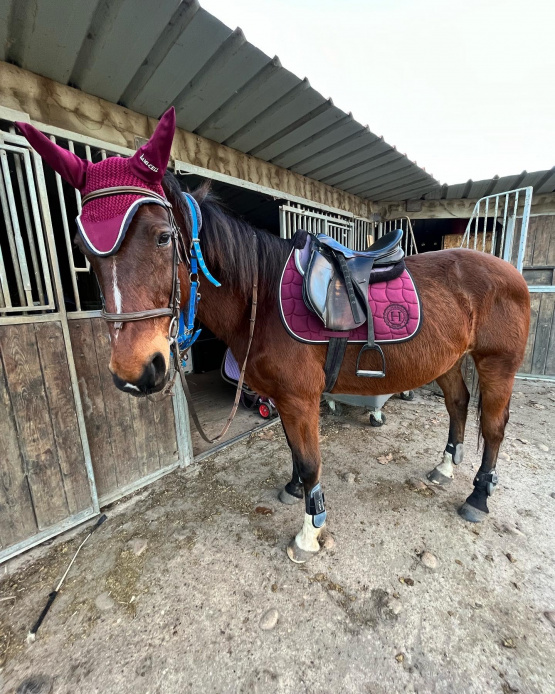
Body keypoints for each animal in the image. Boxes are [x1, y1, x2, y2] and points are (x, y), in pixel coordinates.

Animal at [16, 109, 531, 564]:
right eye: (83, 249)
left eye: (163, 236)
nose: (135, 371)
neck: (260, 299)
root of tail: (510, 272)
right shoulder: (283, 399)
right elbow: (294, 454)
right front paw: (293, 491)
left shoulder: (301, 398)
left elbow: (310, 461)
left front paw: (309, 534)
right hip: (448, 360)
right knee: (458, 405)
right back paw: (445, 467)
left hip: (497, 364)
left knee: (494, 426)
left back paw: (478, 497)